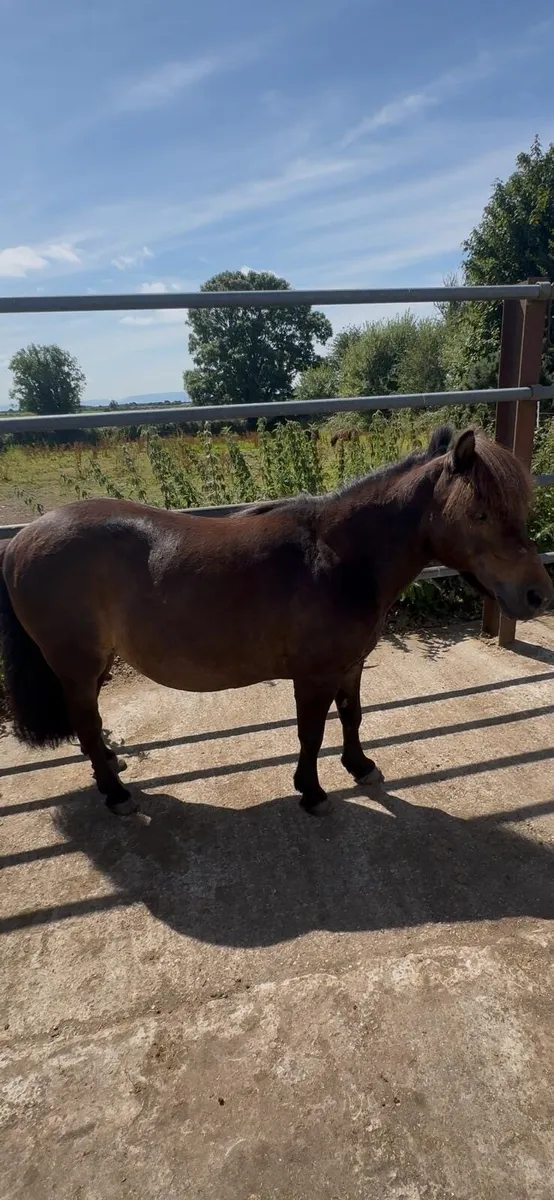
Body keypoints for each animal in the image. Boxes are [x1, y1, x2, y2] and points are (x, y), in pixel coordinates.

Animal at [0, 424, 551, 817]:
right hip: (76, 664)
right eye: (480, 513)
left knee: (89, 725)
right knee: (86, 723)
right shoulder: (313, 676)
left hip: (94, 665)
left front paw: (360, 767)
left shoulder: (349, 667)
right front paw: (312, 792)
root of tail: (23, 538)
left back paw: (109, 772)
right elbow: (311, 733)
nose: (537, 594)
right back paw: (117, 795)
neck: (338, 559)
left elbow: (351, 717)